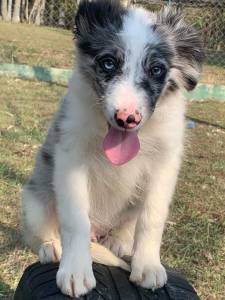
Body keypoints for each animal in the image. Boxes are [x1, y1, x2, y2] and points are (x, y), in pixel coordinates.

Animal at [22, 0, 204, 296]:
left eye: (157, 70)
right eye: (108, 63)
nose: (127, 118)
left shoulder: (165, 163)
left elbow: (152, 218)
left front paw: (148, 265)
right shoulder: (71, 154)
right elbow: (75, 219)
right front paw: (75, 270)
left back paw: (120, 241)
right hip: (33, 203)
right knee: (45, 231)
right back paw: (51, 248)